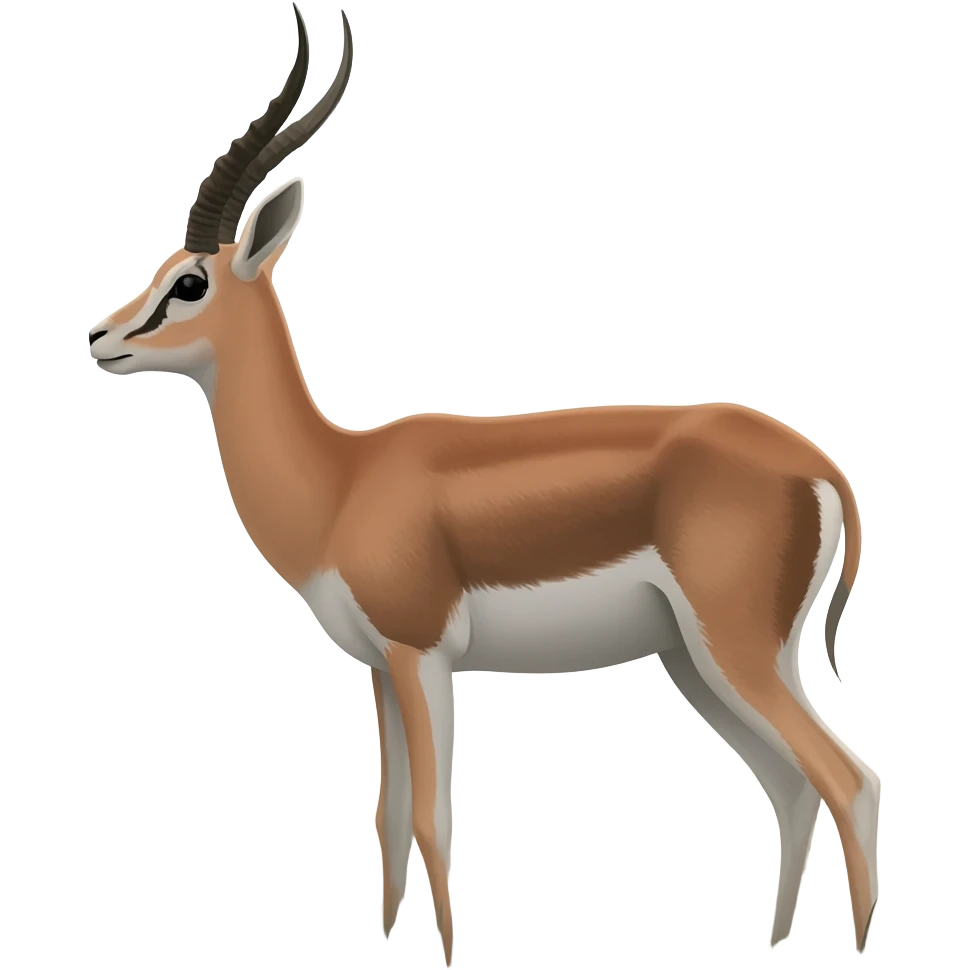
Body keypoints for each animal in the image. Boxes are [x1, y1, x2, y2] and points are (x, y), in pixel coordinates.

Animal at [85, 4, 878, 965]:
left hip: (735, 653)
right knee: (792, 788)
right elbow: (386, 822)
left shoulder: (423, 653)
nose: (100, 338)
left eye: (190, 282)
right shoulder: (381, 670)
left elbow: (435, 822)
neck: (342, 480)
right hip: (696, 661)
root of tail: (818, 463)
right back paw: (776, 945)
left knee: (850, 782)